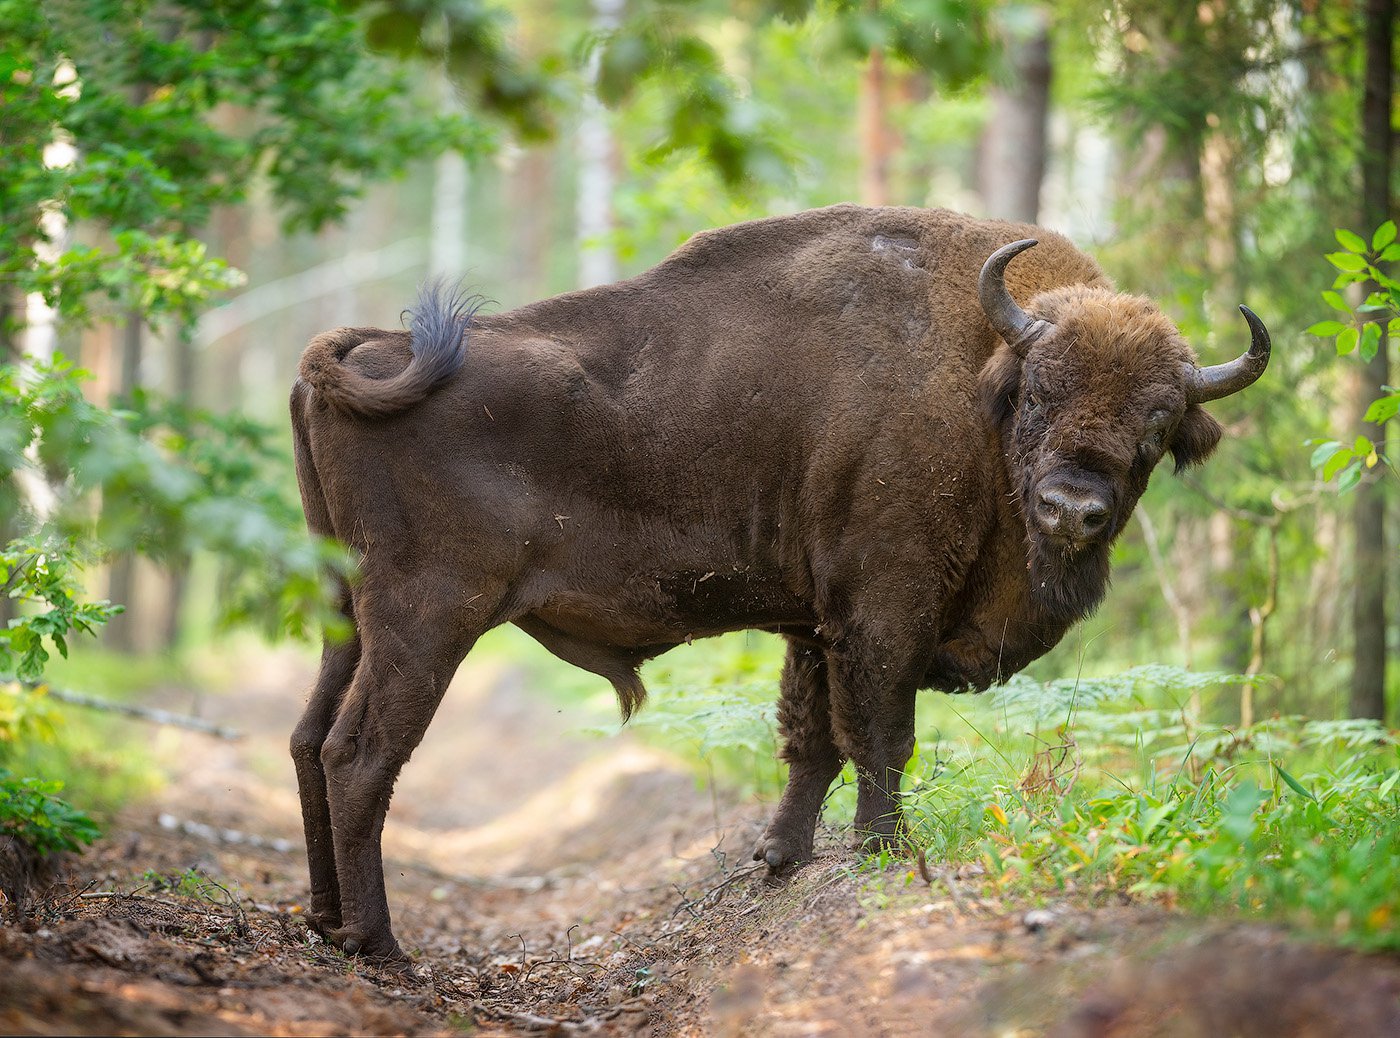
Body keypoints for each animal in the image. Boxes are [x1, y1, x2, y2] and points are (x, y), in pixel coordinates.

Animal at [292, 204, 1271, 963]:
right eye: (1038, 392)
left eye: (1158, 423)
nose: (1073, 509)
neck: (975, 375)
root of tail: (369, 349)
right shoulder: (882, 614)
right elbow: (880, 736)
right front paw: (885, 853)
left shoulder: (815, 628)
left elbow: (813, 742)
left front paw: (780, 857)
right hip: (429, 618)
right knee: (361, 753)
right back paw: (380, 945)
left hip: (348, 613)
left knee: (308, 739)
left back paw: (324, 920)